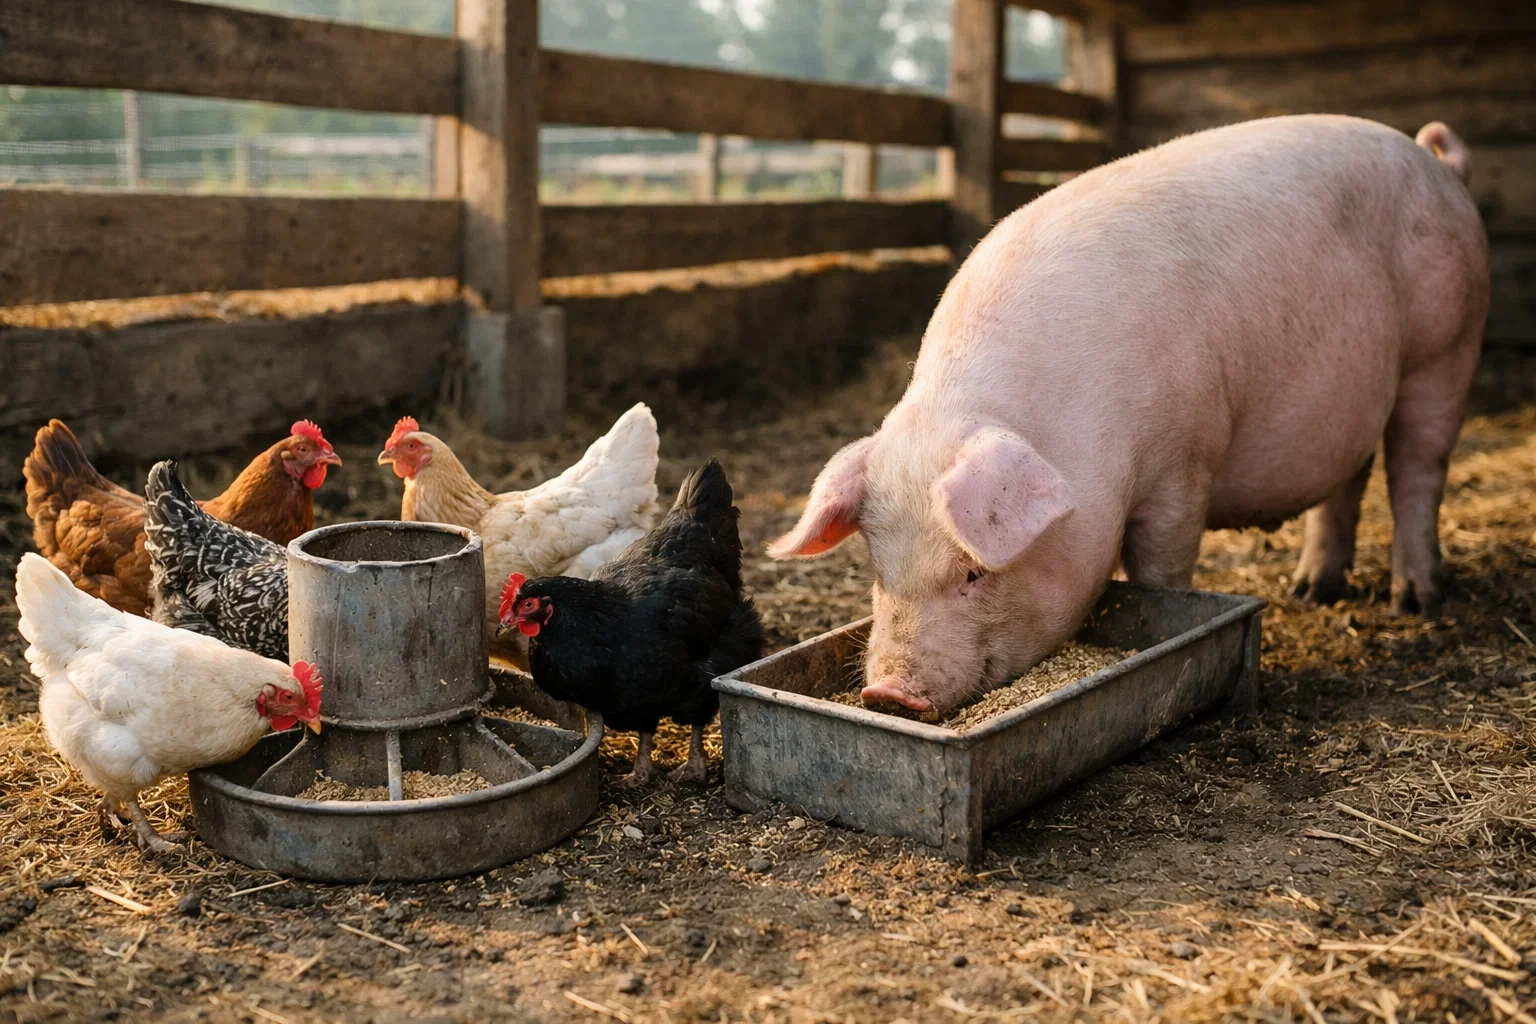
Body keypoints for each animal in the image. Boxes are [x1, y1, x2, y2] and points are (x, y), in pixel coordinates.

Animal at [770, 115, 1488, 716]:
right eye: (877, 571)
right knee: (1350, 477)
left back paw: (1415, 600)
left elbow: (1160, 568)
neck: (1076, 433)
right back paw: (1312, 590)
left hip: (1446, 346)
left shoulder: (1184, 461)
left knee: (1417, 467)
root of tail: (1436, 162)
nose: (887, 694)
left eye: (974, 572)